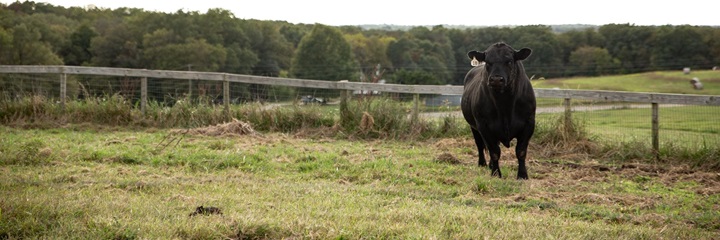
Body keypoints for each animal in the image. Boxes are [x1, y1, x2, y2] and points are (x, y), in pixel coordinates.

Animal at [462, 42, 536, 179]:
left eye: (509, 61)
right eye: (487, 62)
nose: (496, 79)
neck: (505, 105)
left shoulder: (529, 122)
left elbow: (521, 151)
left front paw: (522, 175)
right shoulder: (483, 125)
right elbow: (494, 151)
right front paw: (496, 173)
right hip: (474, 127)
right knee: (480, 144)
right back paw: (482, 163)